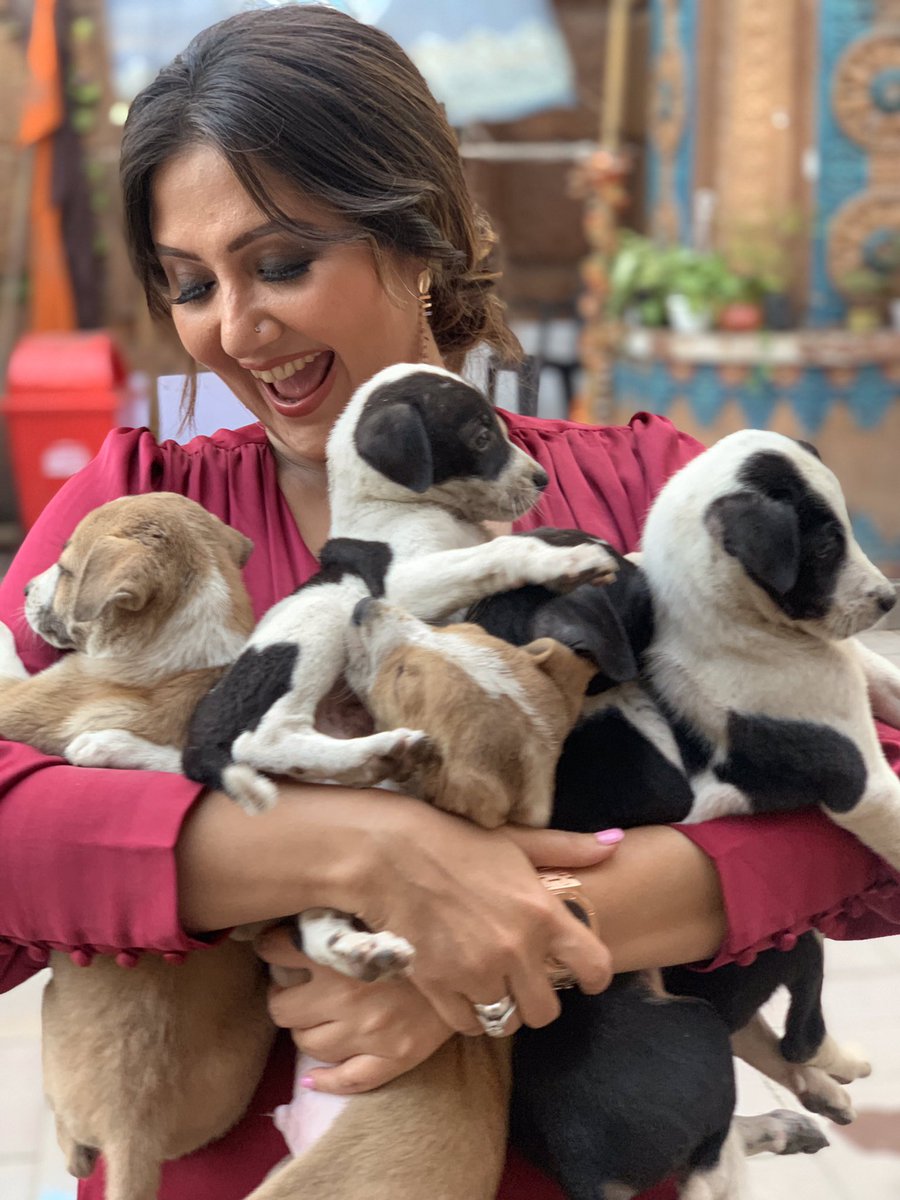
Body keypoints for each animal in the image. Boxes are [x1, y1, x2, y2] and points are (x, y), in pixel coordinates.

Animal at [0, 493, 275, 1200]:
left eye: (66, 568)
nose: (28, 590)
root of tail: (134, 1134)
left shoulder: (28, 701)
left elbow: (7, 672)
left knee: (75, 1148)